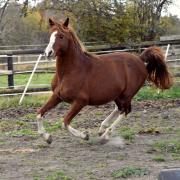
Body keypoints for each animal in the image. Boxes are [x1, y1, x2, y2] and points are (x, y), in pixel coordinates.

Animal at [36, 18, 172, 144]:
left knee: (126, 111)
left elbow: (64, 122)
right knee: (119, 108)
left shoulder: (81, 101)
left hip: (127, 94)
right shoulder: (57, 96)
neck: (69, 72)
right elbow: (39, 113)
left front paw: (85, 136)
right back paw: (102, 128)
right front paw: (47, 137)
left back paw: (106, 135)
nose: (48, 53)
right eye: (50, 35)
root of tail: (140, 59)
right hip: (117, 95)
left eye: (61, 36)